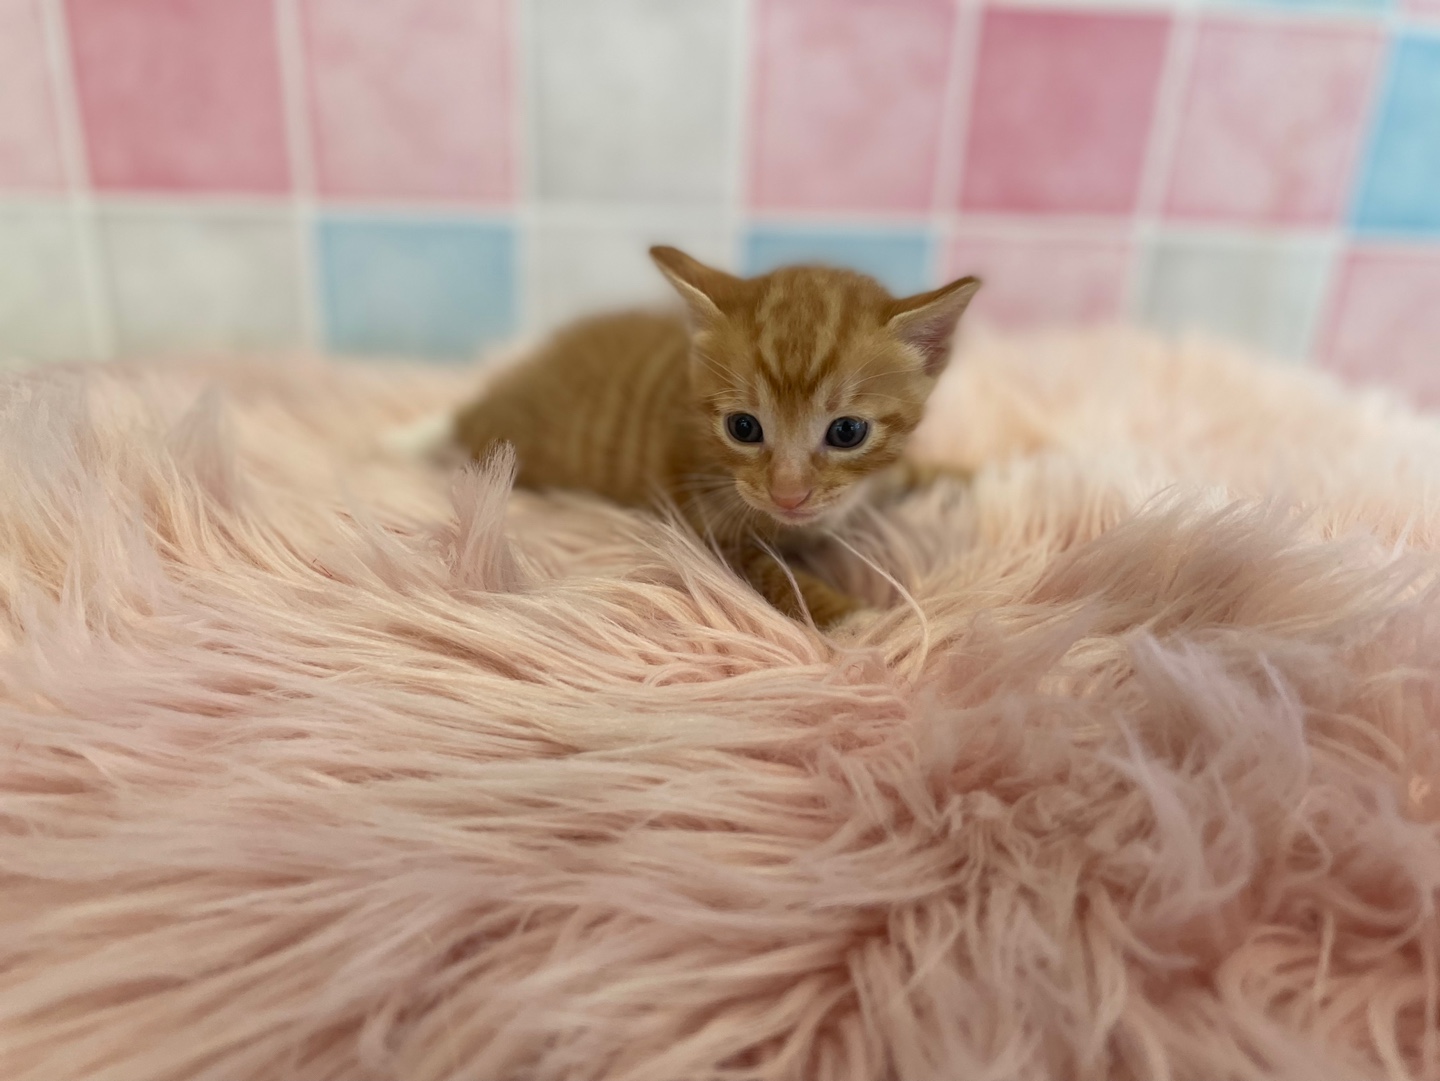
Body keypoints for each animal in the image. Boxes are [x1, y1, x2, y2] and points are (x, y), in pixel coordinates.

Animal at [454, 246, 980, 628]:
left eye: (847, 432)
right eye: (743, 428)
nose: (788, 493)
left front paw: (967, 477)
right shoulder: (705, 530)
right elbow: (777, 574)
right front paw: (862, 622)